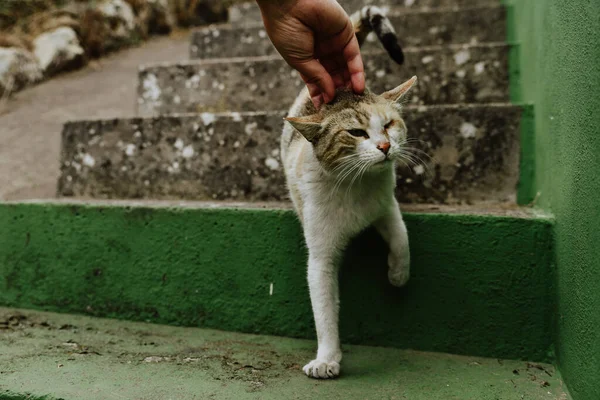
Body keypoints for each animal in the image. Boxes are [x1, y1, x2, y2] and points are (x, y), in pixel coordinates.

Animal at [278, 7, 414, 382]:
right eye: (356, 132)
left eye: (389, 125)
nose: (384, 147)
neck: (357, 187)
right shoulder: (321, 255)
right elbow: (324, 310)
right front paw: (326, 358)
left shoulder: (386, 205)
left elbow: (401, 236)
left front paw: (398, 273)